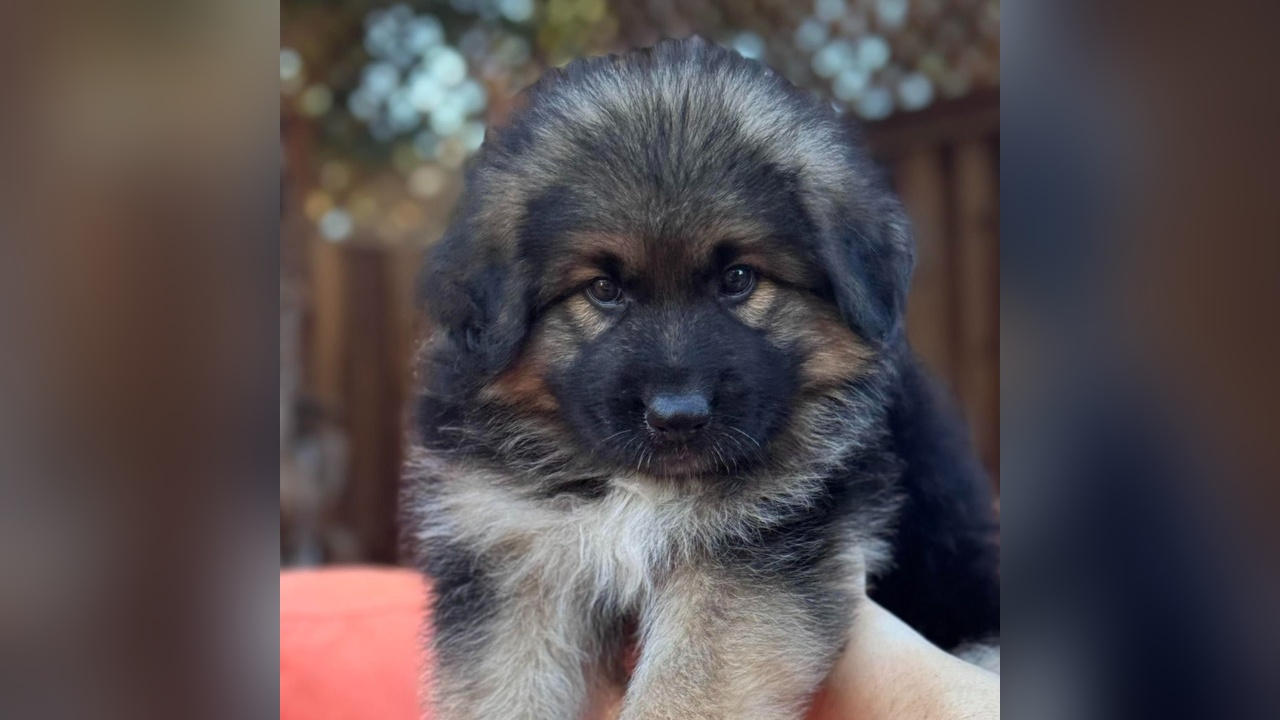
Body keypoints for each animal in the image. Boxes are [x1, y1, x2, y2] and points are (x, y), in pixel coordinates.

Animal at [403, 37, 999, 719]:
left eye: (738, 279)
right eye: (603, 289)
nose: (678, 416)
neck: (636, 487)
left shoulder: (755, 545)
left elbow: (687, 687)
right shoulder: (509, 554)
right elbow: (504, 690)